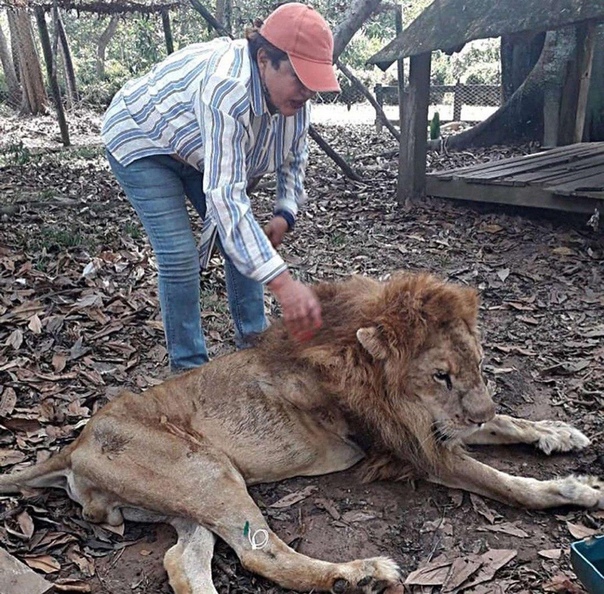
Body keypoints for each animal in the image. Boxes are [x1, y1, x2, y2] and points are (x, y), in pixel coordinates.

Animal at [1, 270, 604, 588]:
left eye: (479, 364)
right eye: (441, 374)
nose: (473, 410)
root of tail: (74, 444)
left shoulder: (432, 427)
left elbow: (507, 421)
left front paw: (559, 433)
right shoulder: (414, 446)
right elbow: (504, 482)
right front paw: (575, 490)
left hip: (186, 503)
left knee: (185, 563)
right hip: (206, 469)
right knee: (260, 553)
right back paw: (359, 574)